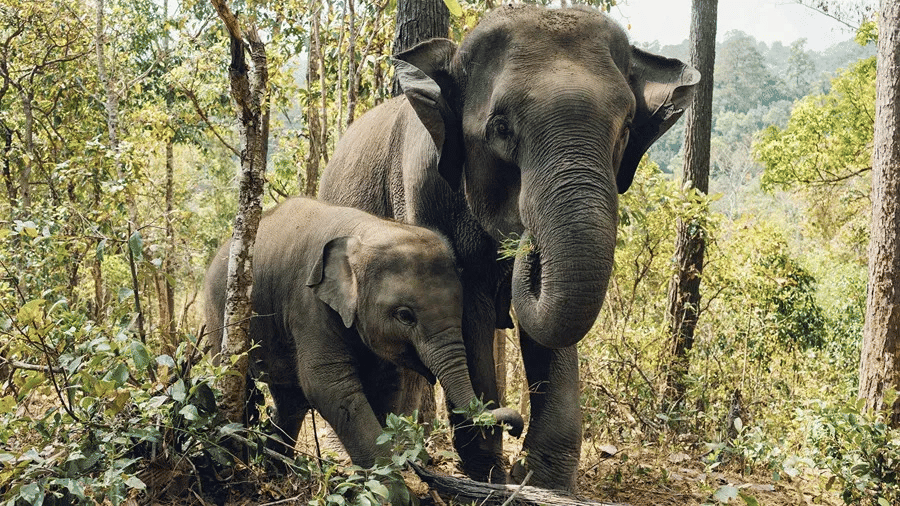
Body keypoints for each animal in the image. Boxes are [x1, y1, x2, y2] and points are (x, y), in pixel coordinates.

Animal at [202, 197, 524, 469]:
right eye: (405, 316)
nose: (516, 429)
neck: (366, 230)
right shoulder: (309, 304)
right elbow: (328, 384)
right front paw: (396, 483)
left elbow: (386, 384)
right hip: (219, 315)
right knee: (239, 383)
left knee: (290, 400)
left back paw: (278, 469)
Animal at [317, 4, 699, 490]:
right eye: (500, 129)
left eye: (627, 128)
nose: (526, 242)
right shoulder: (424, 190)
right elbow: (469, 311)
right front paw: (490, 476)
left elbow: (551, 328)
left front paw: (542, 482)